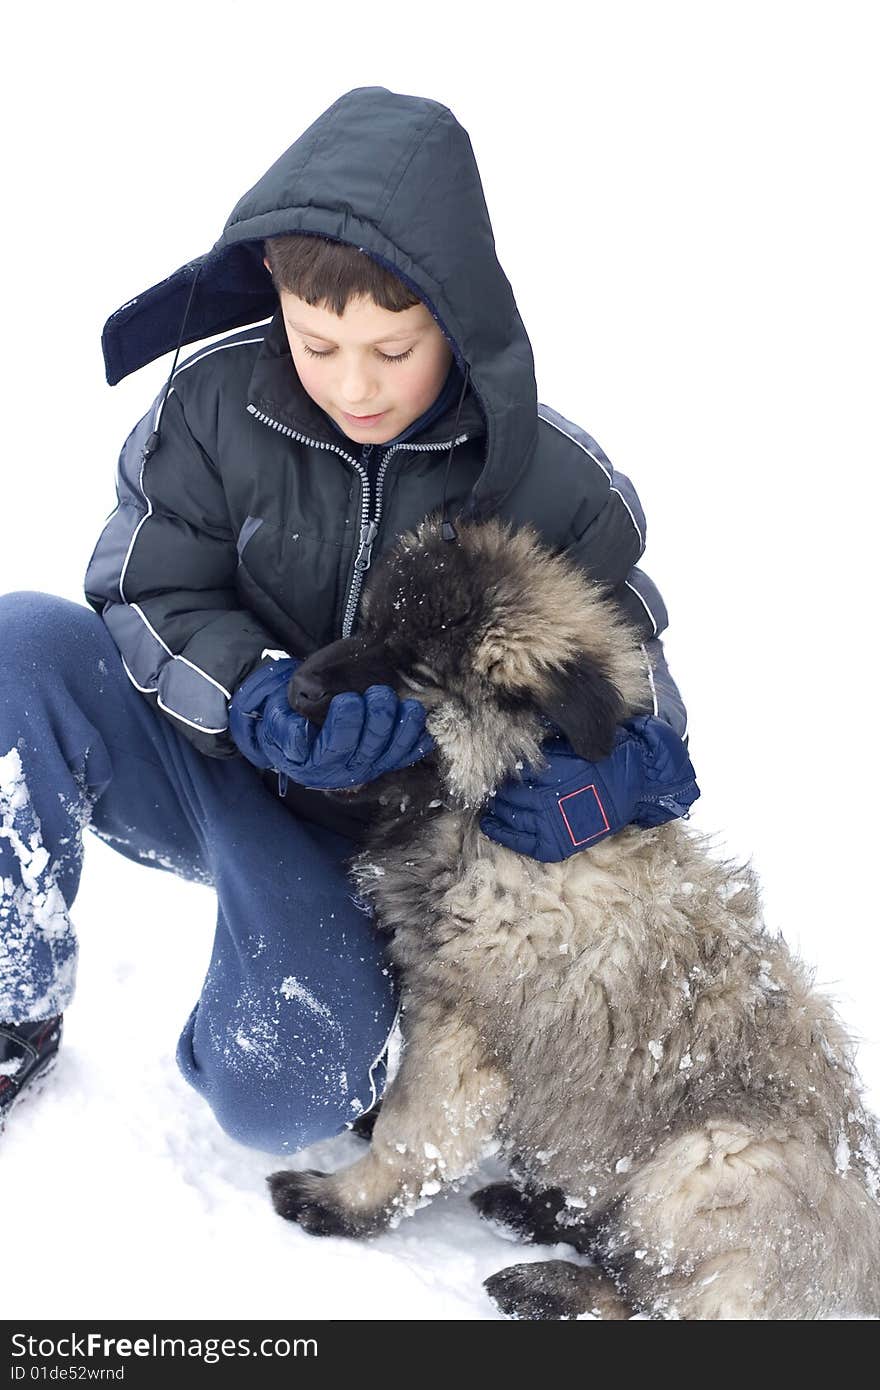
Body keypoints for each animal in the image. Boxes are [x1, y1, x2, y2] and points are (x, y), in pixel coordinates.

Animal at [268, 517, 878, 1317]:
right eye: (368, 624)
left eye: (415, 671)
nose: (298, 684)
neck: (486, 806)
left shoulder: (462, 1034)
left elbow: (412, 1135)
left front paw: (340, 1202)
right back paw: (533, 1209)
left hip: (709, 1159)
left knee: (660, 1296)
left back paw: (547, 1282)